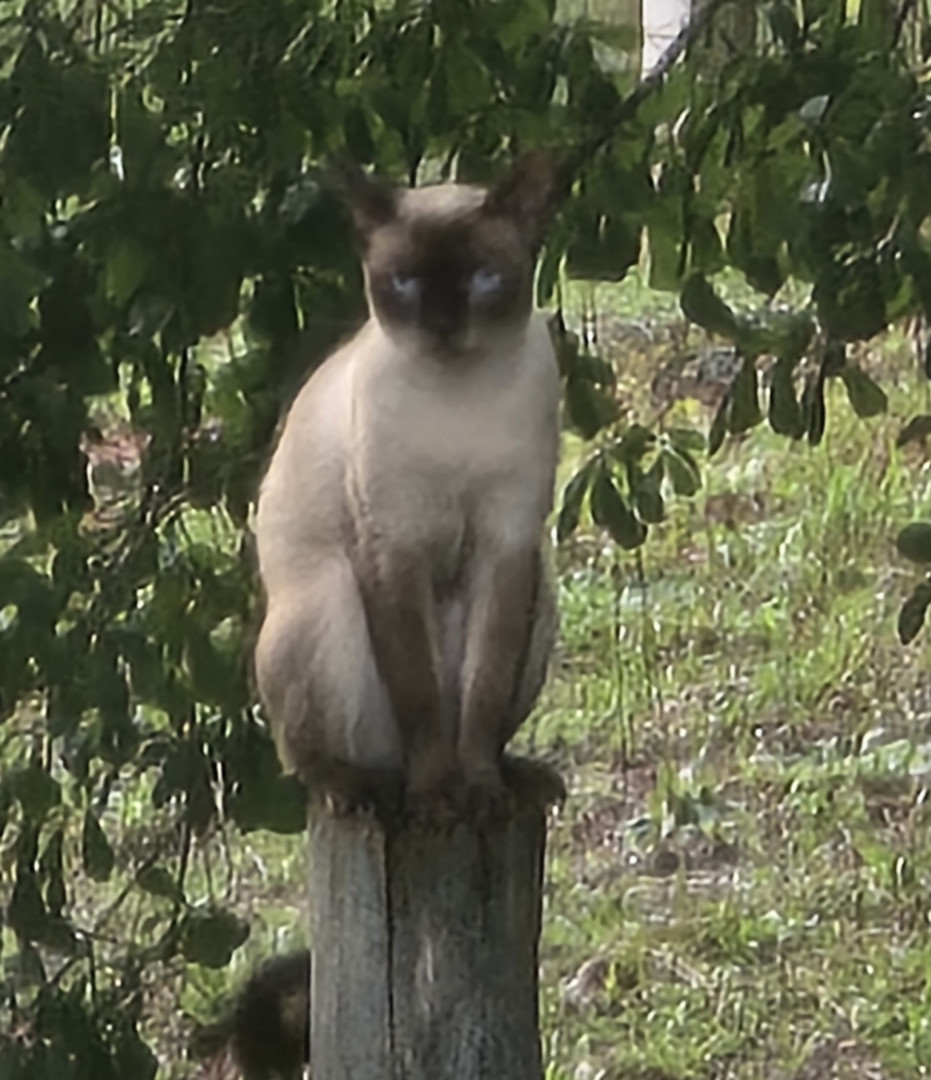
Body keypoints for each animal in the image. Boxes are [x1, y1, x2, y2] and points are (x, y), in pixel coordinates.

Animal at [254, 153, 563, 821]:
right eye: (405, 283)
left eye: (482, 279)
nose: (443, 327)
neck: (458, 397)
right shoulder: (394, 543)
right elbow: (418, 691)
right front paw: (436, 794)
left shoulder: (507, 541)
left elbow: (482, 690)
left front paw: (479, 789)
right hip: (328, 593)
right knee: (320, 762)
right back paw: (361, 788)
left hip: (543, 591)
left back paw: (517, 780)